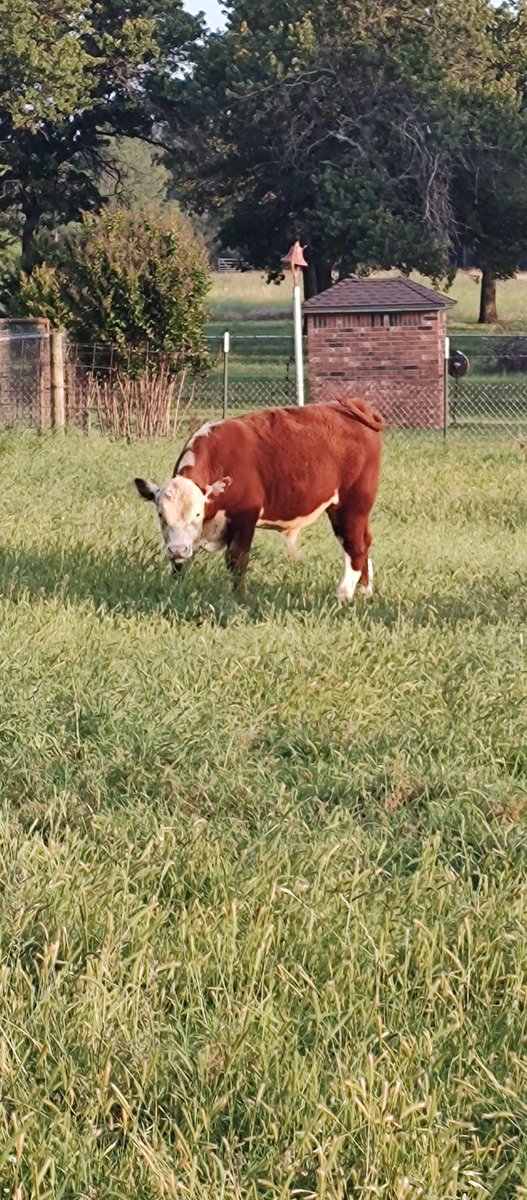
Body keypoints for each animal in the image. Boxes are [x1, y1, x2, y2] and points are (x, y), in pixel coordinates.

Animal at [134, 397, 384, 600]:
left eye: (197, 513)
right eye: (161, 515)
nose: (177, 550)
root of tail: (356, 406)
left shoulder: (245, 518)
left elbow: (237, 560)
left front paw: (239, 597)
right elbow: (179, 566)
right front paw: (175, 589)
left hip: (352, 505)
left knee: (355, 545)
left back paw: (343, 594)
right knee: (364, 541)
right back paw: (364, 590)